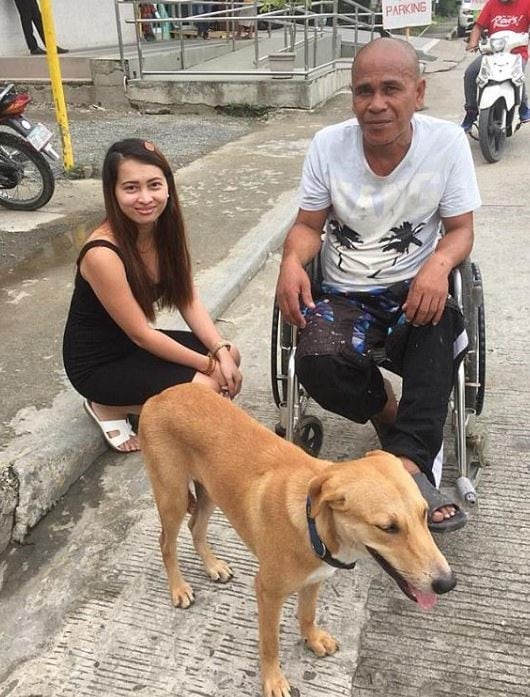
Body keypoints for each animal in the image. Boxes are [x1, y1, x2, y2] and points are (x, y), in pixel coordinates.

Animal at [139, 384, 454, 696]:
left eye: (424, 513)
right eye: (387, 527)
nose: (448, 583)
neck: (315, 527)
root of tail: (160, 395)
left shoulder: (315, 579)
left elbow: (308, 614)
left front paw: (312, 639)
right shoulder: (267, 592)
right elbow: (270, 643)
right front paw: (273, 680)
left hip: (210, 492)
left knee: (196, 528)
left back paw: (213, 566)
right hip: (173, 497)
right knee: (166, 543)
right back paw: (179, 588)